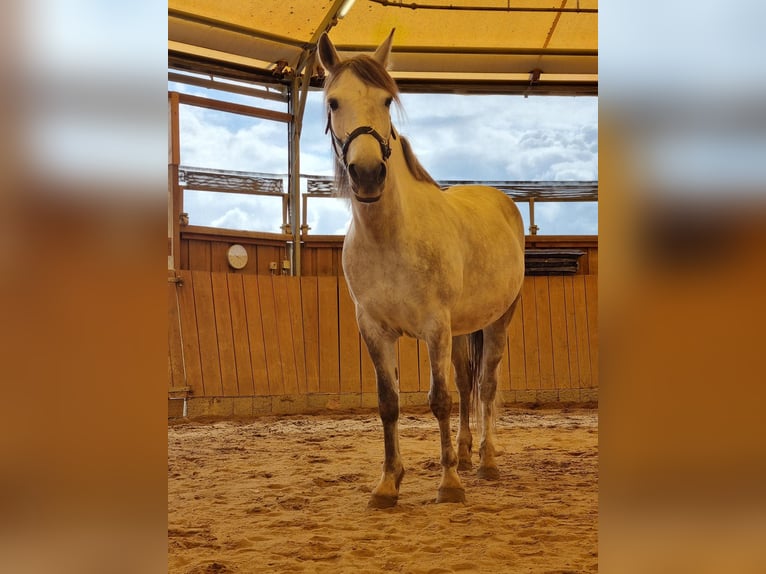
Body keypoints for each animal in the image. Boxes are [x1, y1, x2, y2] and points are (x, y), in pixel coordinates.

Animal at [318, 30, 525, 508]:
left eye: (386, 100)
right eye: (334, 102)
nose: (368, 174)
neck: (390, 236)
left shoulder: (434, 327)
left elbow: (439, 400)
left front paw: (449, 484)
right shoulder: (374, 329)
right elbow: (389, 403)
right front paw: (388, 483)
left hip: (498, 321)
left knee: (485, 385)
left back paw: (485, 461)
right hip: (464, 327)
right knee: (468, 384)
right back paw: (465, 454)